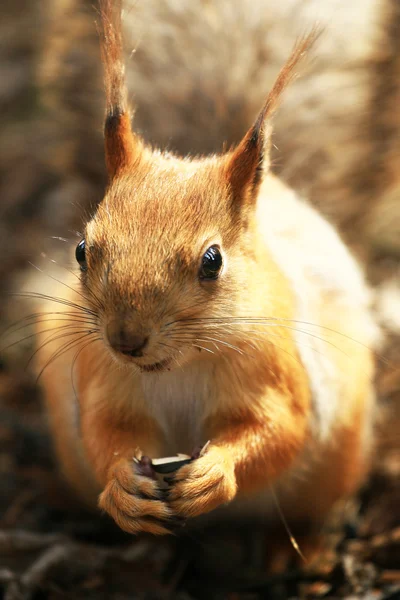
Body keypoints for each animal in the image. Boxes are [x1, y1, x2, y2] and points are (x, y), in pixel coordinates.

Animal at [36, 0, 380, 540]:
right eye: (81, 249)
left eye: (212, 261)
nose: (125, 339)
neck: (181, 367)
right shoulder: (102, 380)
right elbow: (103, 432)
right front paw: (121, 487)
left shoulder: (275, 370)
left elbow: (279, 430)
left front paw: (215, 473)